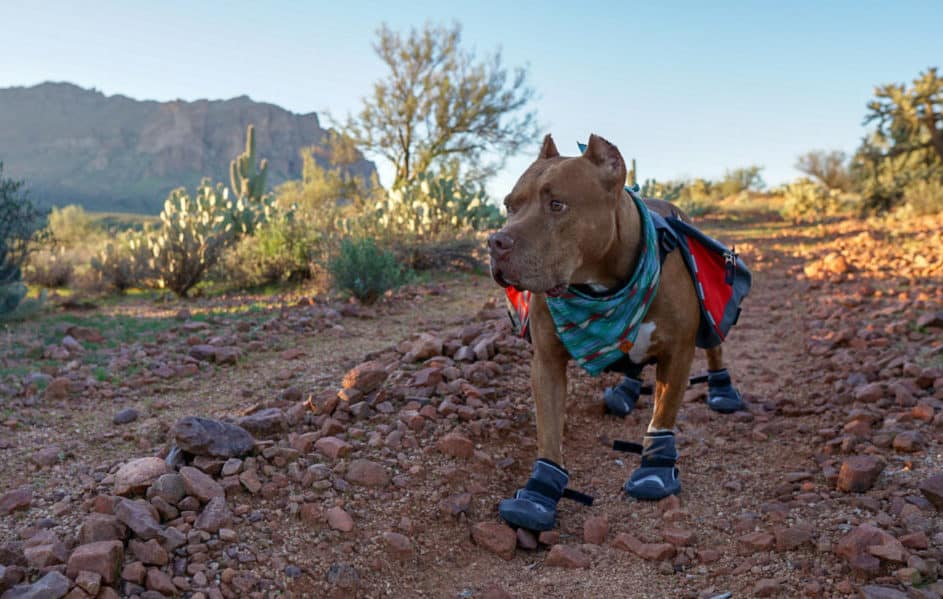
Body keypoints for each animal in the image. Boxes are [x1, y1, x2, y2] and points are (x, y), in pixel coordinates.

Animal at [486, 135, 744, 528]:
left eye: (557, 204)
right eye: (509, 206)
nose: (495, 242)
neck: (602, 288)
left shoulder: (678, 353)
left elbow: (663, 414)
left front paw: (654, 470)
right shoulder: (546, 363)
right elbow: (549, 431)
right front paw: (538, 493)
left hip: (710, 313)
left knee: (715, 345)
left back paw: (722, 390)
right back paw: (625, 390)